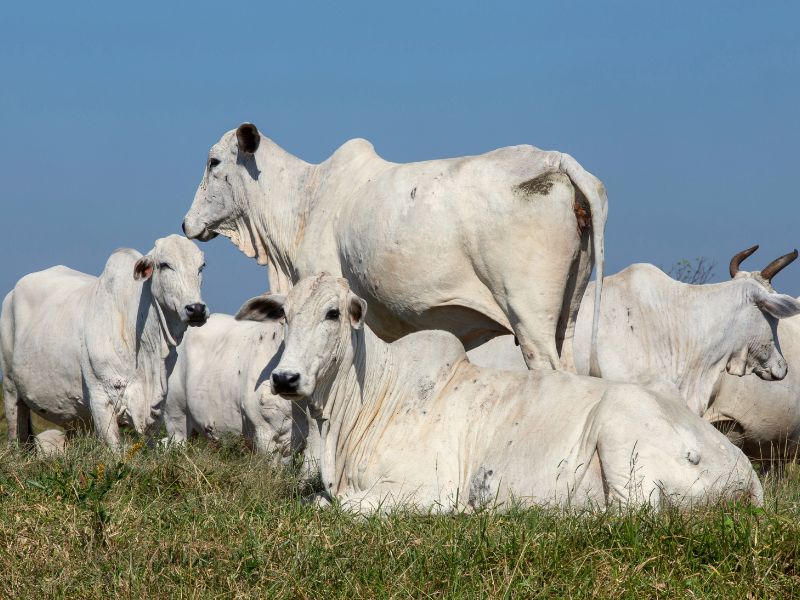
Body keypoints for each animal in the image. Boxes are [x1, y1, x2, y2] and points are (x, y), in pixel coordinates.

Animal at [0, 234, 209, 450]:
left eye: (201, 266)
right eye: (164, 264)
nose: (196, 309)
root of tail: (11, 294)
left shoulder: (157, 406)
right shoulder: (100, 398)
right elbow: (115, 448)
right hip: (10, 385)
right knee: (16, 430)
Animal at [181, 124, 608, 372]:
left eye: (213, 161)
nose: (186, 223)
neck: (305, 199)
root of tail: (554, 159)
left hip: (529, 314)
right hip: (566, 313)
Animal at [244, 274, 764, 512]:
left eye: (333, 313)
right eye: (284, 315)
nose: (285, 378)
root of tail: (744, 471)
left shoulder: (427, 490)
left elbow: (339, 508)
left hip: (621, 429)